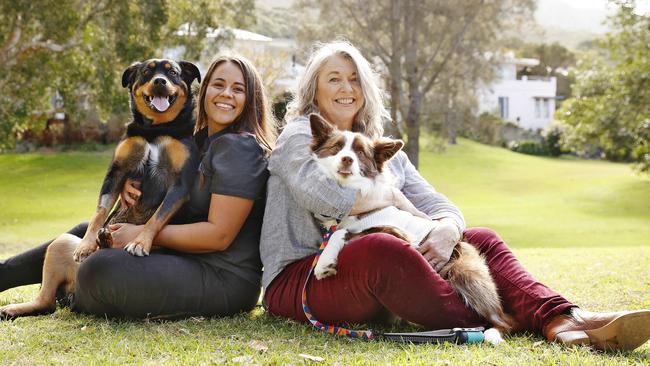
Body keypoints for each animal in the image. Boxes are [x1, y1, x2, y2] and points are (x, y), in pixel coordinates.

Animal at [0, 58, 200, 318]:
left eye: (173, 72)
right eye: (147, 72)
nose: (159, 81)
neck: (156, 130)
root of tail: (73, 291)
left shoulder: (180, 183)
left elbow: (156, 218)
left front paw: (140, 242)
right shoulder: (115, 173)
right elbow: (100, 211)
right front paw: (87, 243)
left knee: (48, 303)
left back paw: (107, 241)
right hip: (61, 243)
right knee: (44, 301)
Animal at [308, 114, 516, 346]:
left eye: (360, 153)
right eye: (337, 147)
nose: (347, 159)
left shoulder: (396, 231)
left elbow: (341, 232)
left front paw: (324, 263)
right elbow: (337, 231)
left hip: (466, 274)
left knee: (506, 319)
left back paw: (491, 333)